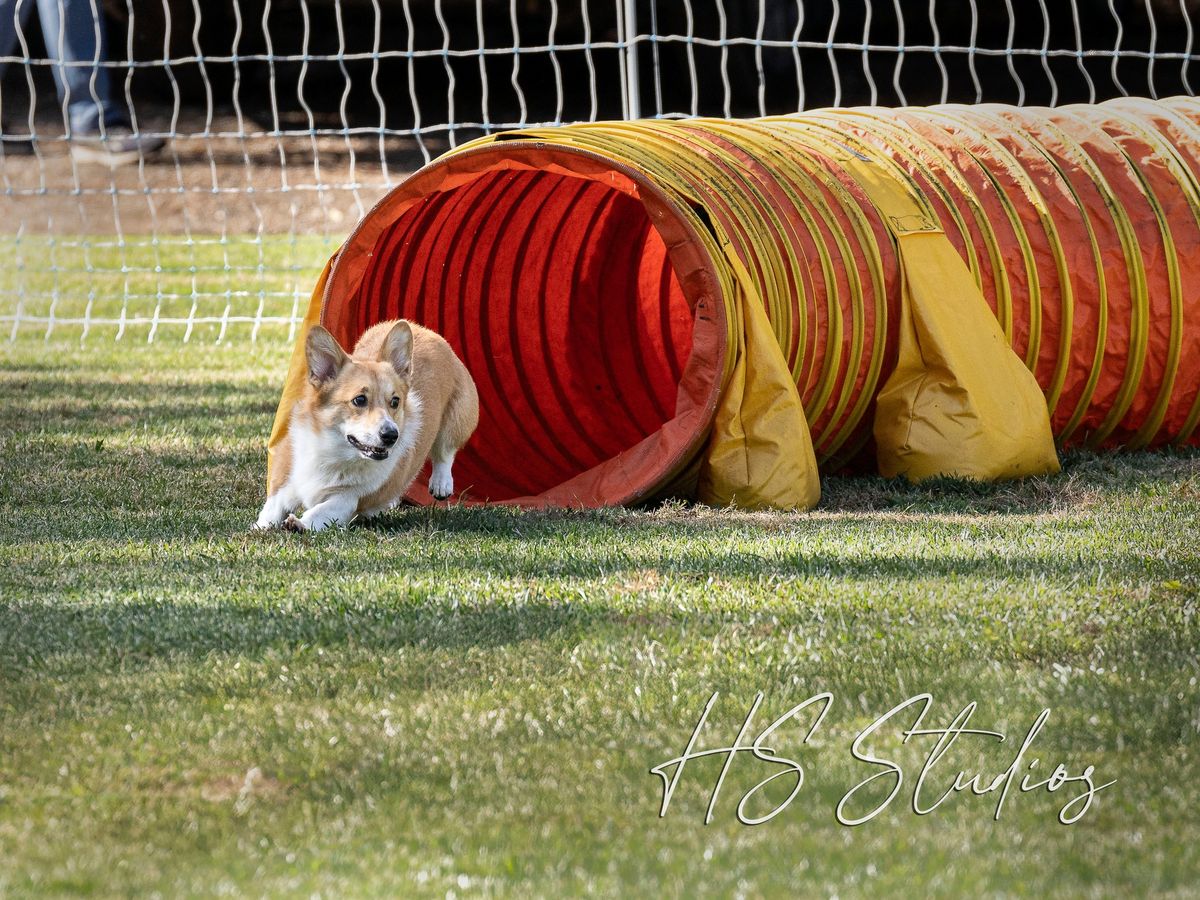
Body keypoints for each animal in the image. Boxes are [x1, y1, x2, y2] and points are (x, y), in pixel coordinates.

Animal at [256, 321, 477, 532]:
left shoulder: (348, 499)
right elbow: (274, 506)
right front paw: (262, 526)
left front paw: (299, 524)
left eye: (395, 401)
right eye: (360, 399)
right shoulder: (289, 479)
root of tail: (425, 330)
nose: (391, 435)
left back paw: (441, 484)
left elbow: (320, 511)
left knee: (445, 452)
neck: (334, 452)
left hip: (458, 419)